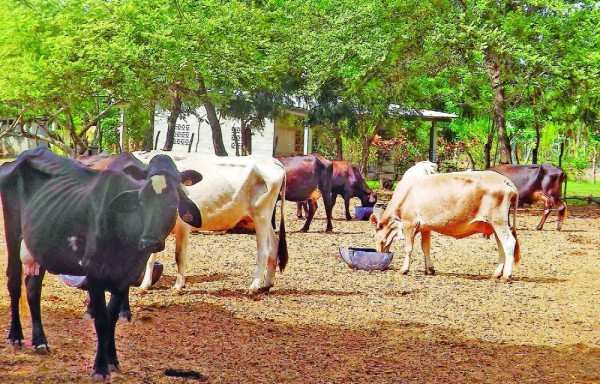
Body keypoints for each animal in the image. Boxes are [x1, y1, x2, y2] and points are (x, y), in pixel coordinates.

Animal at [0, 147, 203, 380]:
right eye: (141, 202)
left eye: (173, 203)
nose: (149, 241)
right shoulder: (95, 272)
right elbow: (102, 320)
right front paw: (100, 367)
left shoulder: (125, 277)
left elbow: (112, 318)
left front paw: (112, 360)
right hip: (13, 232)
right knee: (14, 283)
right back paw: (16, 336)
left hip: (40, 244)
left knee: (33, 288)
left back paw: (40, 341)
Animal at [370, 171, 520, 282]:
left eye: (374, 236)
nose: (378, 252)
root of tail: (504, 180)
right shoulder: (425, 227)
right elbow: (425, 248)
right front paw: (429, 269)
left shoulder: (409, 224)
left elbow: (408, 248)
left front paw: (404, 269)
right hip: (497, 225)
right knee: (501, 246)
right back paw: (496, 274)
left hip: (498, 222)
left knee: (509, 243)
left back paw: (506, 276)